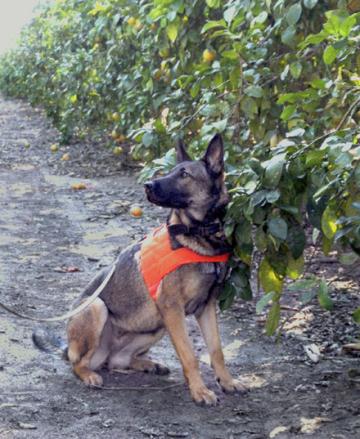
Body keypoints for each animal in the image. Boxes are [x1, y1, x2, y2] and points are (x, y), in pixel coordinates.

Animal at [63, 134, 246, 406]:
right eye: (171, 171)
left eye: (184, 174)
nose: (147, 185)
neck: (198, 233)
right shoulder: (172, 308)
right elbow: (189, 355)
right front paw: (200, 391)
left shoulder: (206, 307)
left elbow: (216, 350)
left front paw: (227, 381)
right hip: (98, 307)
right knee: (79, 364)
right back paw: (89, 375)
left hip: (155, 325)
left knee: (117, 361)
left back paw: (148, 364)